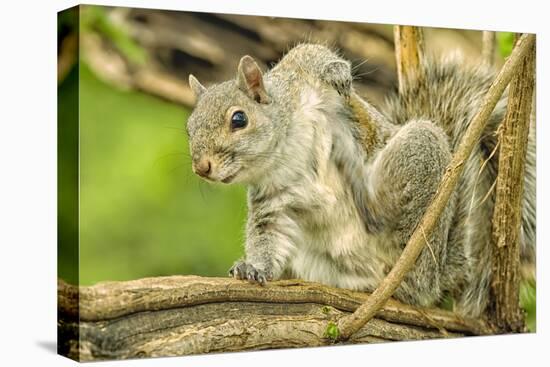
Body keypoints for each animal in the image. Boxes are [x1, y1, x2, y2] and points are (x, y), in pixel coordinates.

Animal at [185, 43, 536, 318]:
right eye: (189, 129)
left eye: (239, 118)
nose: (201, 167)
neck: (284, 149)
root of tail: (439, 274)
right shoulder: (272, 197)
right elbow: (268, 235)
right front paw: (254, 268)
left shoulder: (302, 76)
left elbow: (312, 54)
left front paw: (339, 74)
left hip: (419, 156)